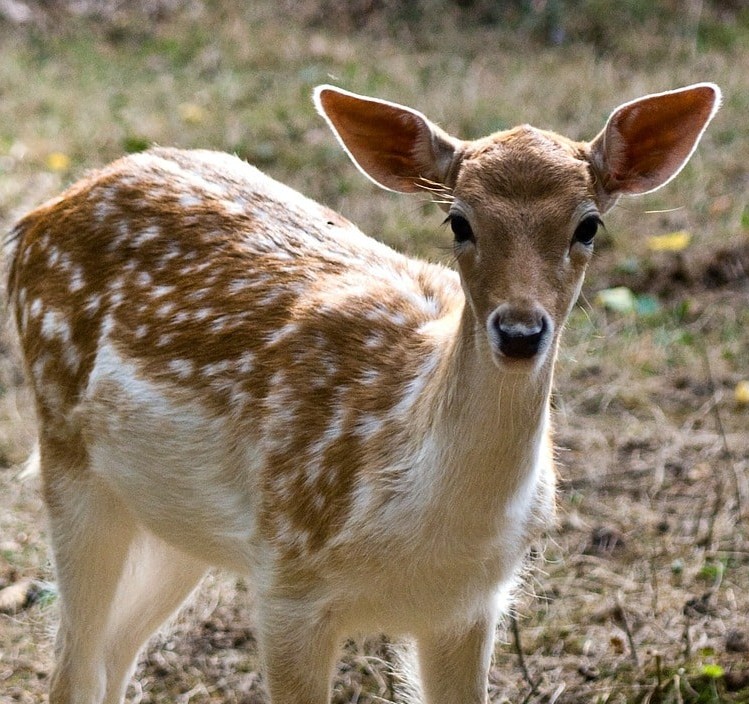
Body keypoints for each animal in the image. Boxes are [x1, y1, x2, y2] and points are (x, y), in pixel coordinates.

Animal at [7, 81, 719, 704]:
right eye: (459, 222)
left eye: (588, 225)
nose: (520, 331)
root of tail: (35, 220)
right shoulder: (287, 581)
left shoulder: (469, 605)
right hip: (69, 457)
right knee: (72, 667)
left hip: (174, 522)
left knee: (113, 656)